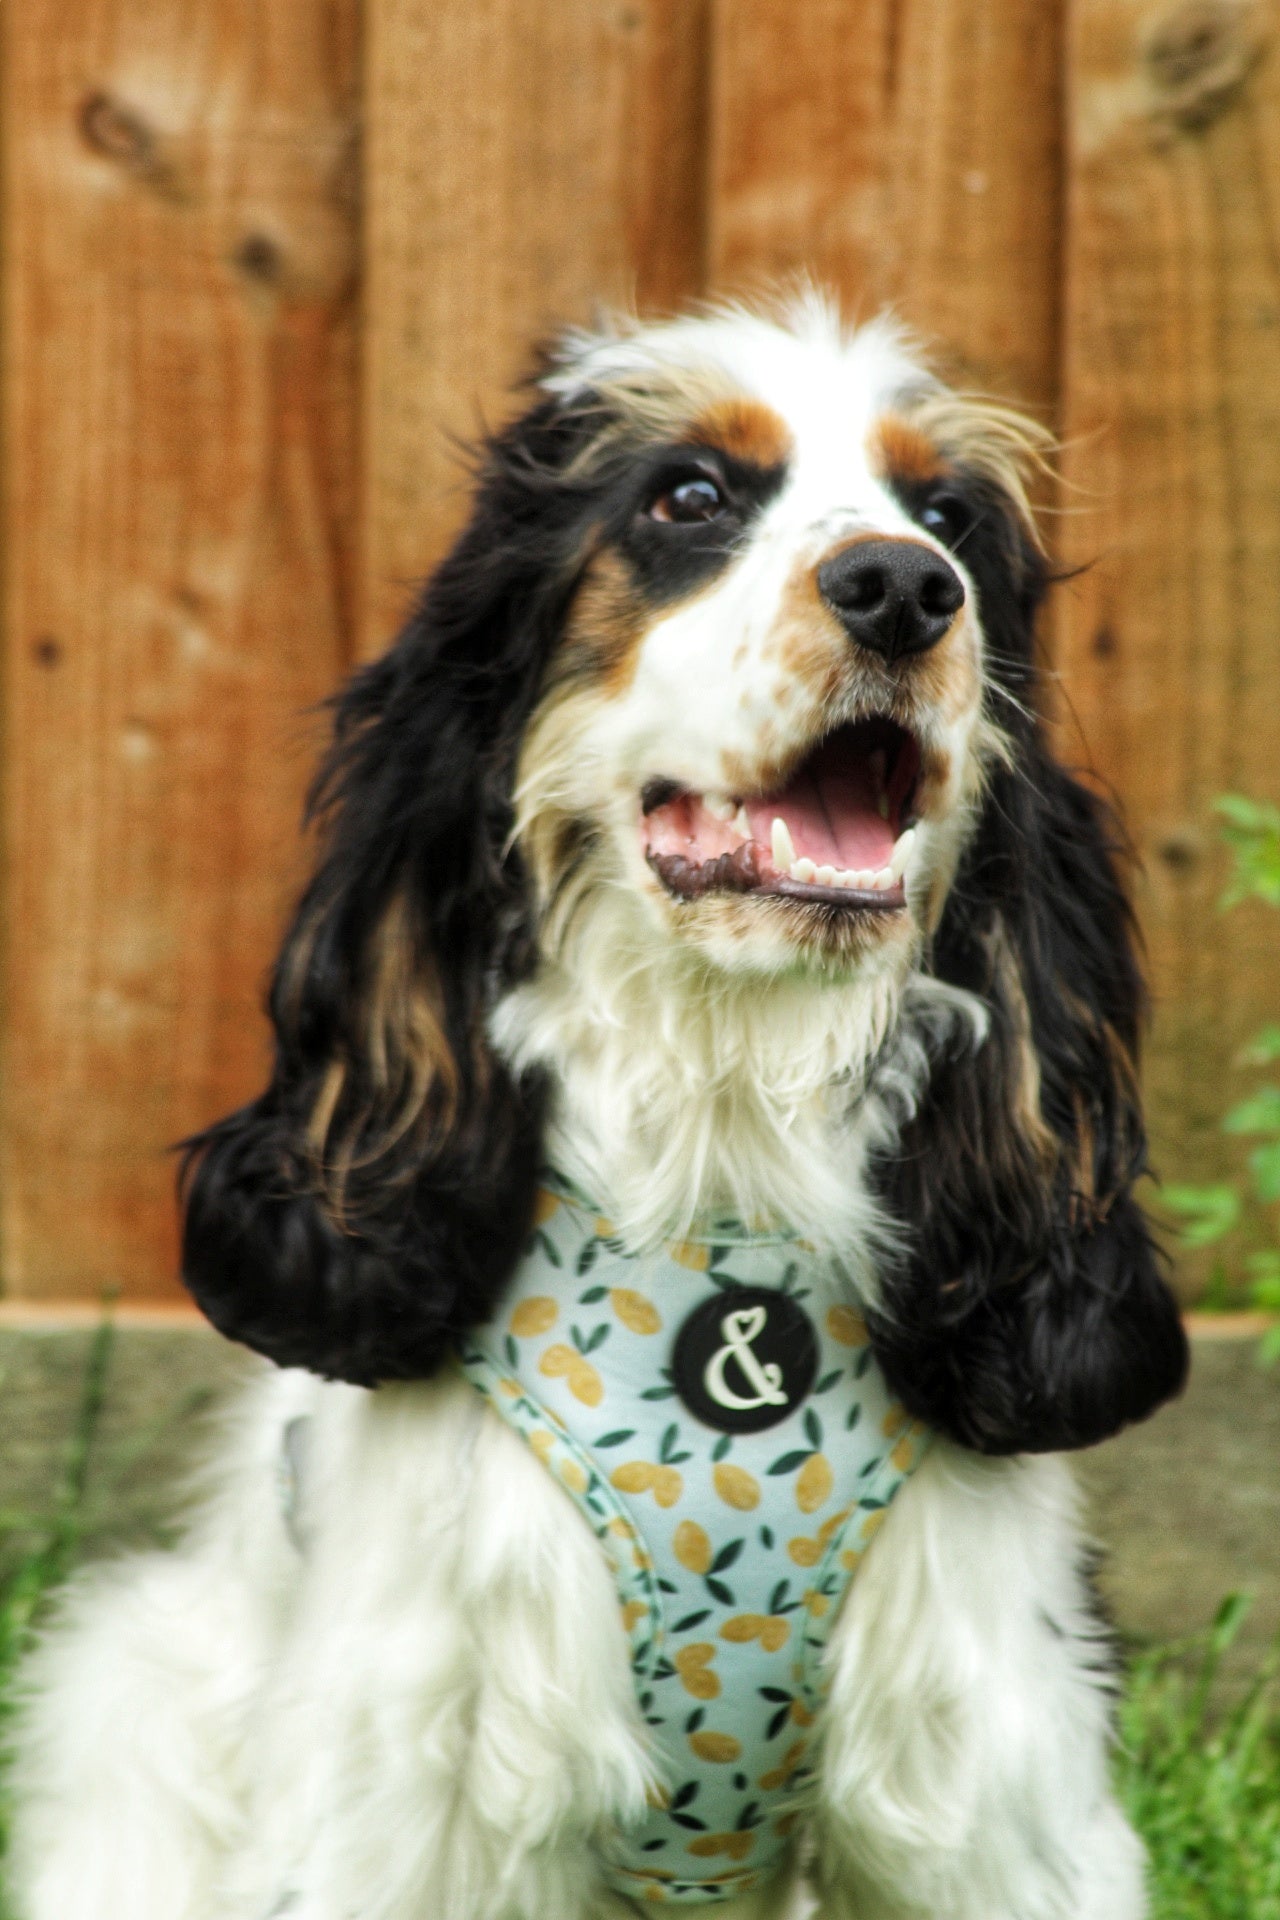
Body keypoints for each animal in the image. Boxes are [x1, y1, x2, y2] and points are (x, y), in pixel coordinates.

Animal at [10, 288, 1189, 1920]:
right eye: (685, 497)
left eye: (948, 515)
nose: (902, 587)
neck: (726, 1156)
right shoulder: (410, 1784)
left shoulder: (991, 1787)